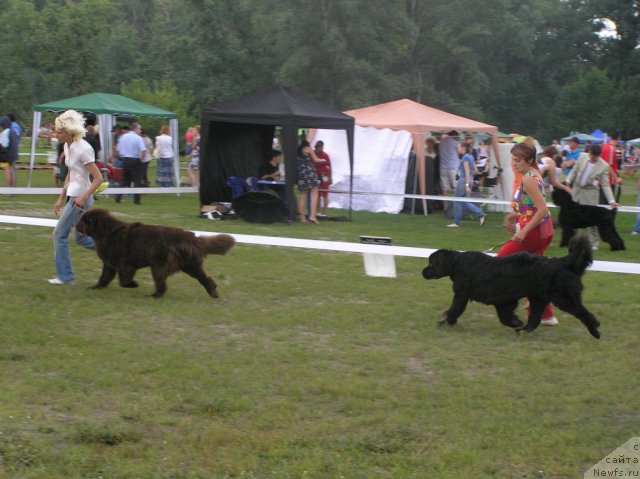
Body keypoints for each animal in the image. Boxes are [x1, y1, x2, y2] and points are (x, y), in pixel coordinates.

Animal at [75, 208, 235, 298]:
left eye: (83, 221)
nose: (75, 225)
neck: (106, 232)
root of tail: (190, 237)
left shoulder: (124, 264)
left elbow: (123, 281)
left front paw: (133, 285)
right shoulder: (109, 264)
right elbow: (104, 278)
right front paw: (95, 287)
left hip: (160, 266)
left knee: (161, 284)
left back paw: (153, 296)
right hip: (190, 265)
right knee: (205, 278)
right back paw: (213, 292)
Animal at [424, 236, 600, 338]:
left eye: (431, 263)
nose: (422, 272)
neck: (457, 263)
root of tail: (562, 262)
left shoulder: (462, 294)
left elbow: (454, 309)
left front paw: (445, 321)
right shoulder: (502, 300)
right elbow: (505, 317)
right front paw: (516, 322)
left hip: (563, 298)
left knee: (583, 312)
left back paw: (595, 331)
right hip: (538, 298)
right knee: (535, 319)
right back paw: (523, 330)